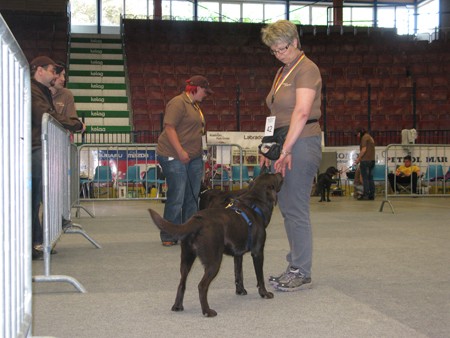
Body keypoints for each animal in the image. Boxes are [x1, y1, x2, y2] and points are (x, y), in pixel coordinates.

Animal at [149, 173, 284, 318]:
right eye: (274, 175)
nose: (280, 173)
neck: (255, 204)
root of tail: (196, 221)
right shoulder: (258, 252)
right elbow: (260, 277)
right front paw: (264, 293)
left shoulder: (238, 254)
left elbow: (238, 274)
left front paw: (240, 291)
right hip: (213, 261)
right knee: (201, 286)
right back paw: (207, 311)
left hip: (186, 258)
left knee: (181, 283)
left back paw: (177, 306)